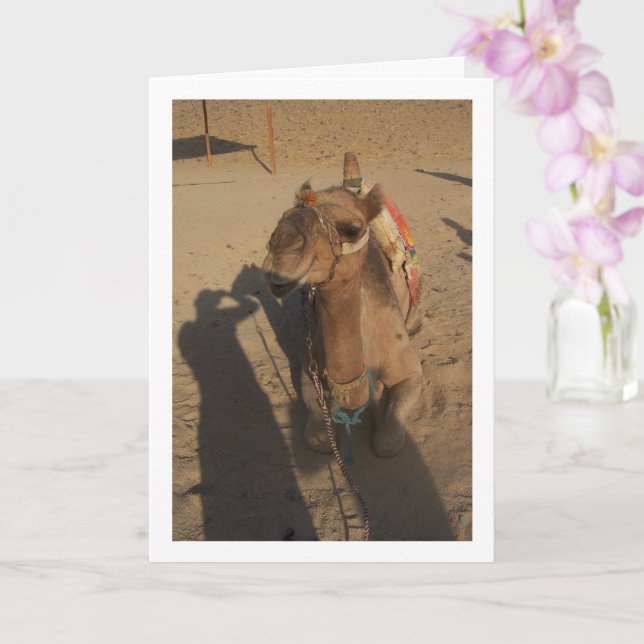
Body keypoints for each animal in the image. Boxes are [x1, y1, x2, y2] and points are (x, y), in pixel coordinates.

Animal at [262, 153, 423, 458]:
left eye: (352, 229)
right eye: (282, 217)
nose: (280, 251)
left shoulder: (409, 371)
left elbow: (387, 443)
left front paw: (380, 395)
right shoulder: (309, 367)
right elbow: (317, 437)